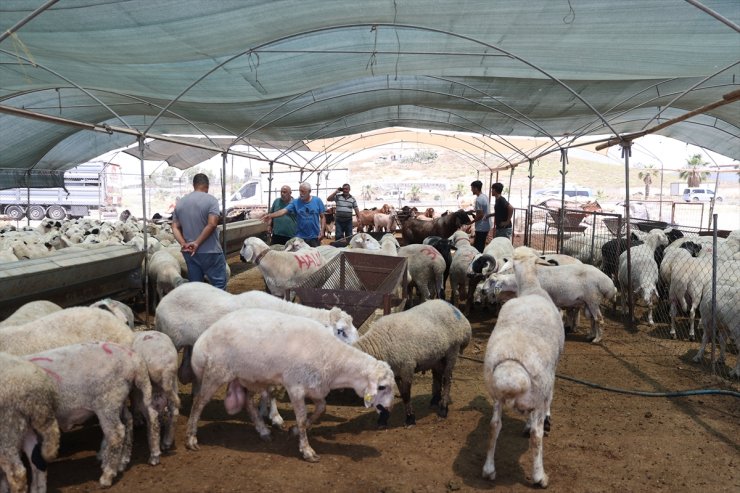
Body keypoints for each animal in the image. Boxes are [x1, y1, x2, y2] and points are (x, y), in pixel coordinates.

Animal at [25, 340, 161, 486]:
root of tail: (133, 358)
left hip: (107, 401)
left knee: (117, 433)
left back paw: (108, 475)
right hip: (130, 393)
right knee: (147, 415)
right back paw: (150, 456)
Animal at [185, 308, 396, 462]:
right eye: (382, 387)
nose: (387, 410)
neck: (333, 359)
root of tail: (203, 338)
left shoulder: (315, 387)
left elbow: (321, 409)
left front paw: (294, 431)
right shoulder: (295, 388)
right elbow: (302, 419)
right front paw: (307, 450)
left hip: (249, 377)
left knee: (248, 403)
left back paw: (263, 430)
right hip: (215, 373)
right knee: (198, 403)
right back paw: (191, 438)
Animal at [482, 248, 564, 486]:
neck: (530, 287)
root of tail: (512, 373)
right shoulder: (552, 373)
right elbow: (550, 398)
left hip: (497, 396)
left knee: (494, 426)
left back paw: (488, 470)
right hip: (537, 392)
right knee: (536, 436)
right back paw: (539, 477)